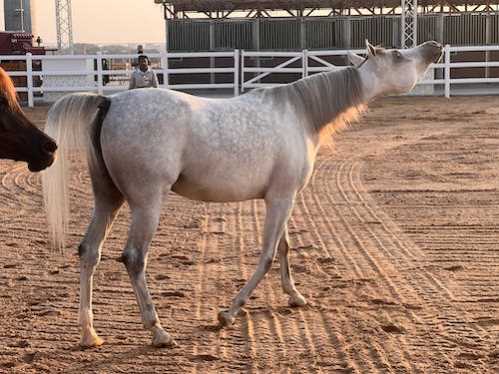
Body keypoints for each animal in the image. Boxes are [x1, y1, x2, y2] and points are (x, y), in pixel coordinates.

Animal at [42, 41, 442, 348]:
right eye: (397, 54)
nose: (434, 47)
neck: (299, 115)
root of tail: (109, 103)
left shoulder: (282, 198)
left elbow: (284, 248)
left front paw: (295, 296)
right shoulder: (280, 199)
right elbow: (267, 256)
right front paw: (228, 313)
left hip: (107, 199)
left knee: (89, 252)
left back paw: (88, 334)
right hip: (146, 204)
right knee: (133, 258)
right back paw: (158, 331)